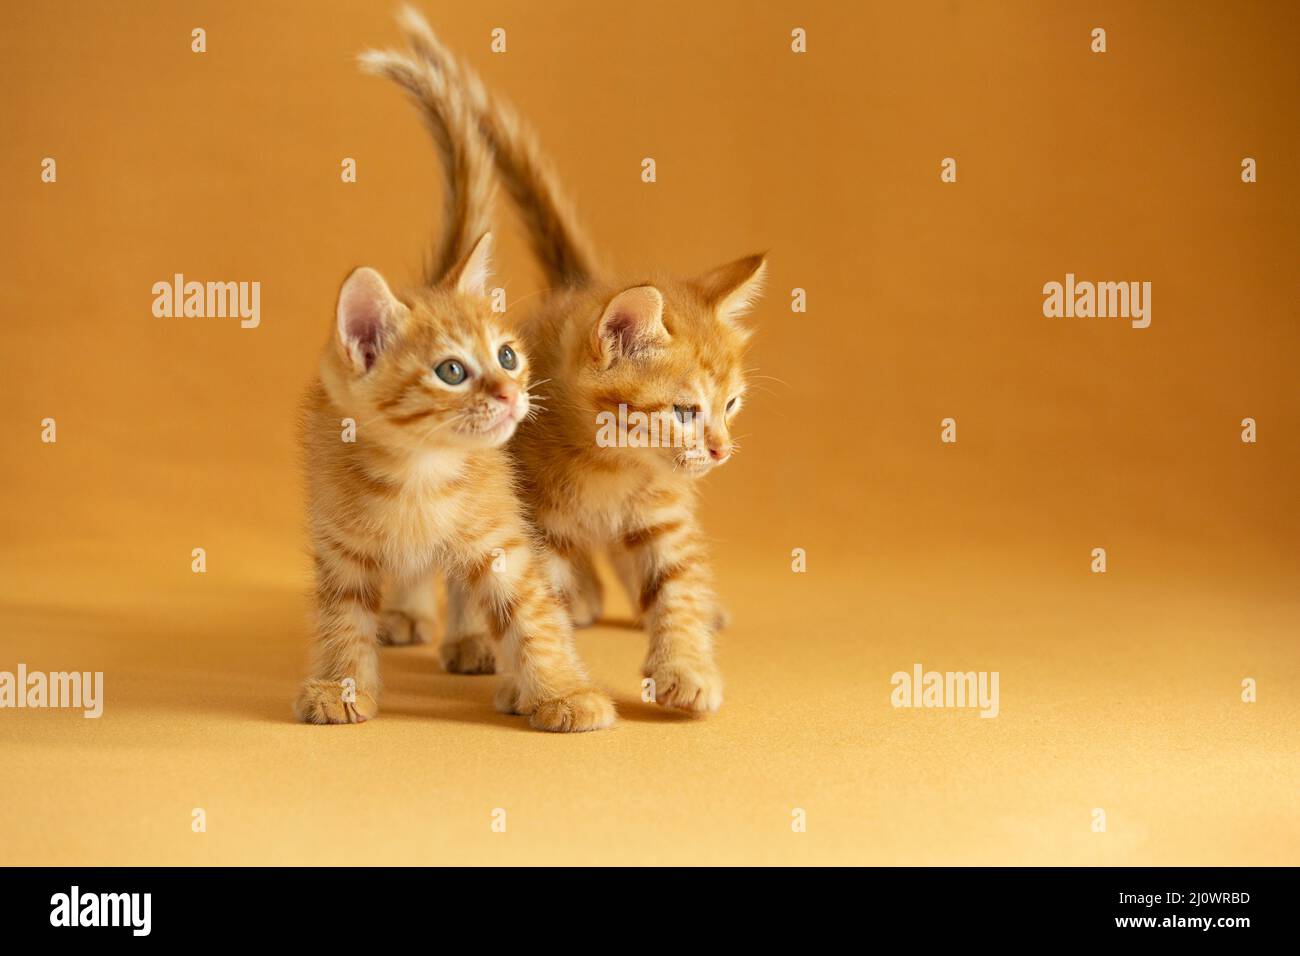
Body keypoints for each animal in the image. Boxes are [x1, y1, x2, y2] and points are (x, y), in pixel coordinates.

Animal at [295, 31, 613, 733]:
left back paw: (469, 641)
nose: (511, 394)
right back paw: (407, 614)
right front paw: (339, 687)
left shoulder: (499, 535)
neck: (419, 474)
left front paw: (563, 693)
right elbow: (342, 620)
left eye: (509, 355)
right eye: (451, 371)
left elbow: (532, 614)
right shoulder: (341, 544)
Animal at [390, 7, 764, 712]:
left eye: (731, 405)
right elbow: (533, 598)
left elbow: (675, 586)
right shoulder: (531, 520)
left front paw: (686, 665)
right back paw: (438, 625)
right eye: (684, 410)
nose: (724, 449)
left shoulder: (663, 514)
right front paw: (542, 680)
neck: (609, 469)